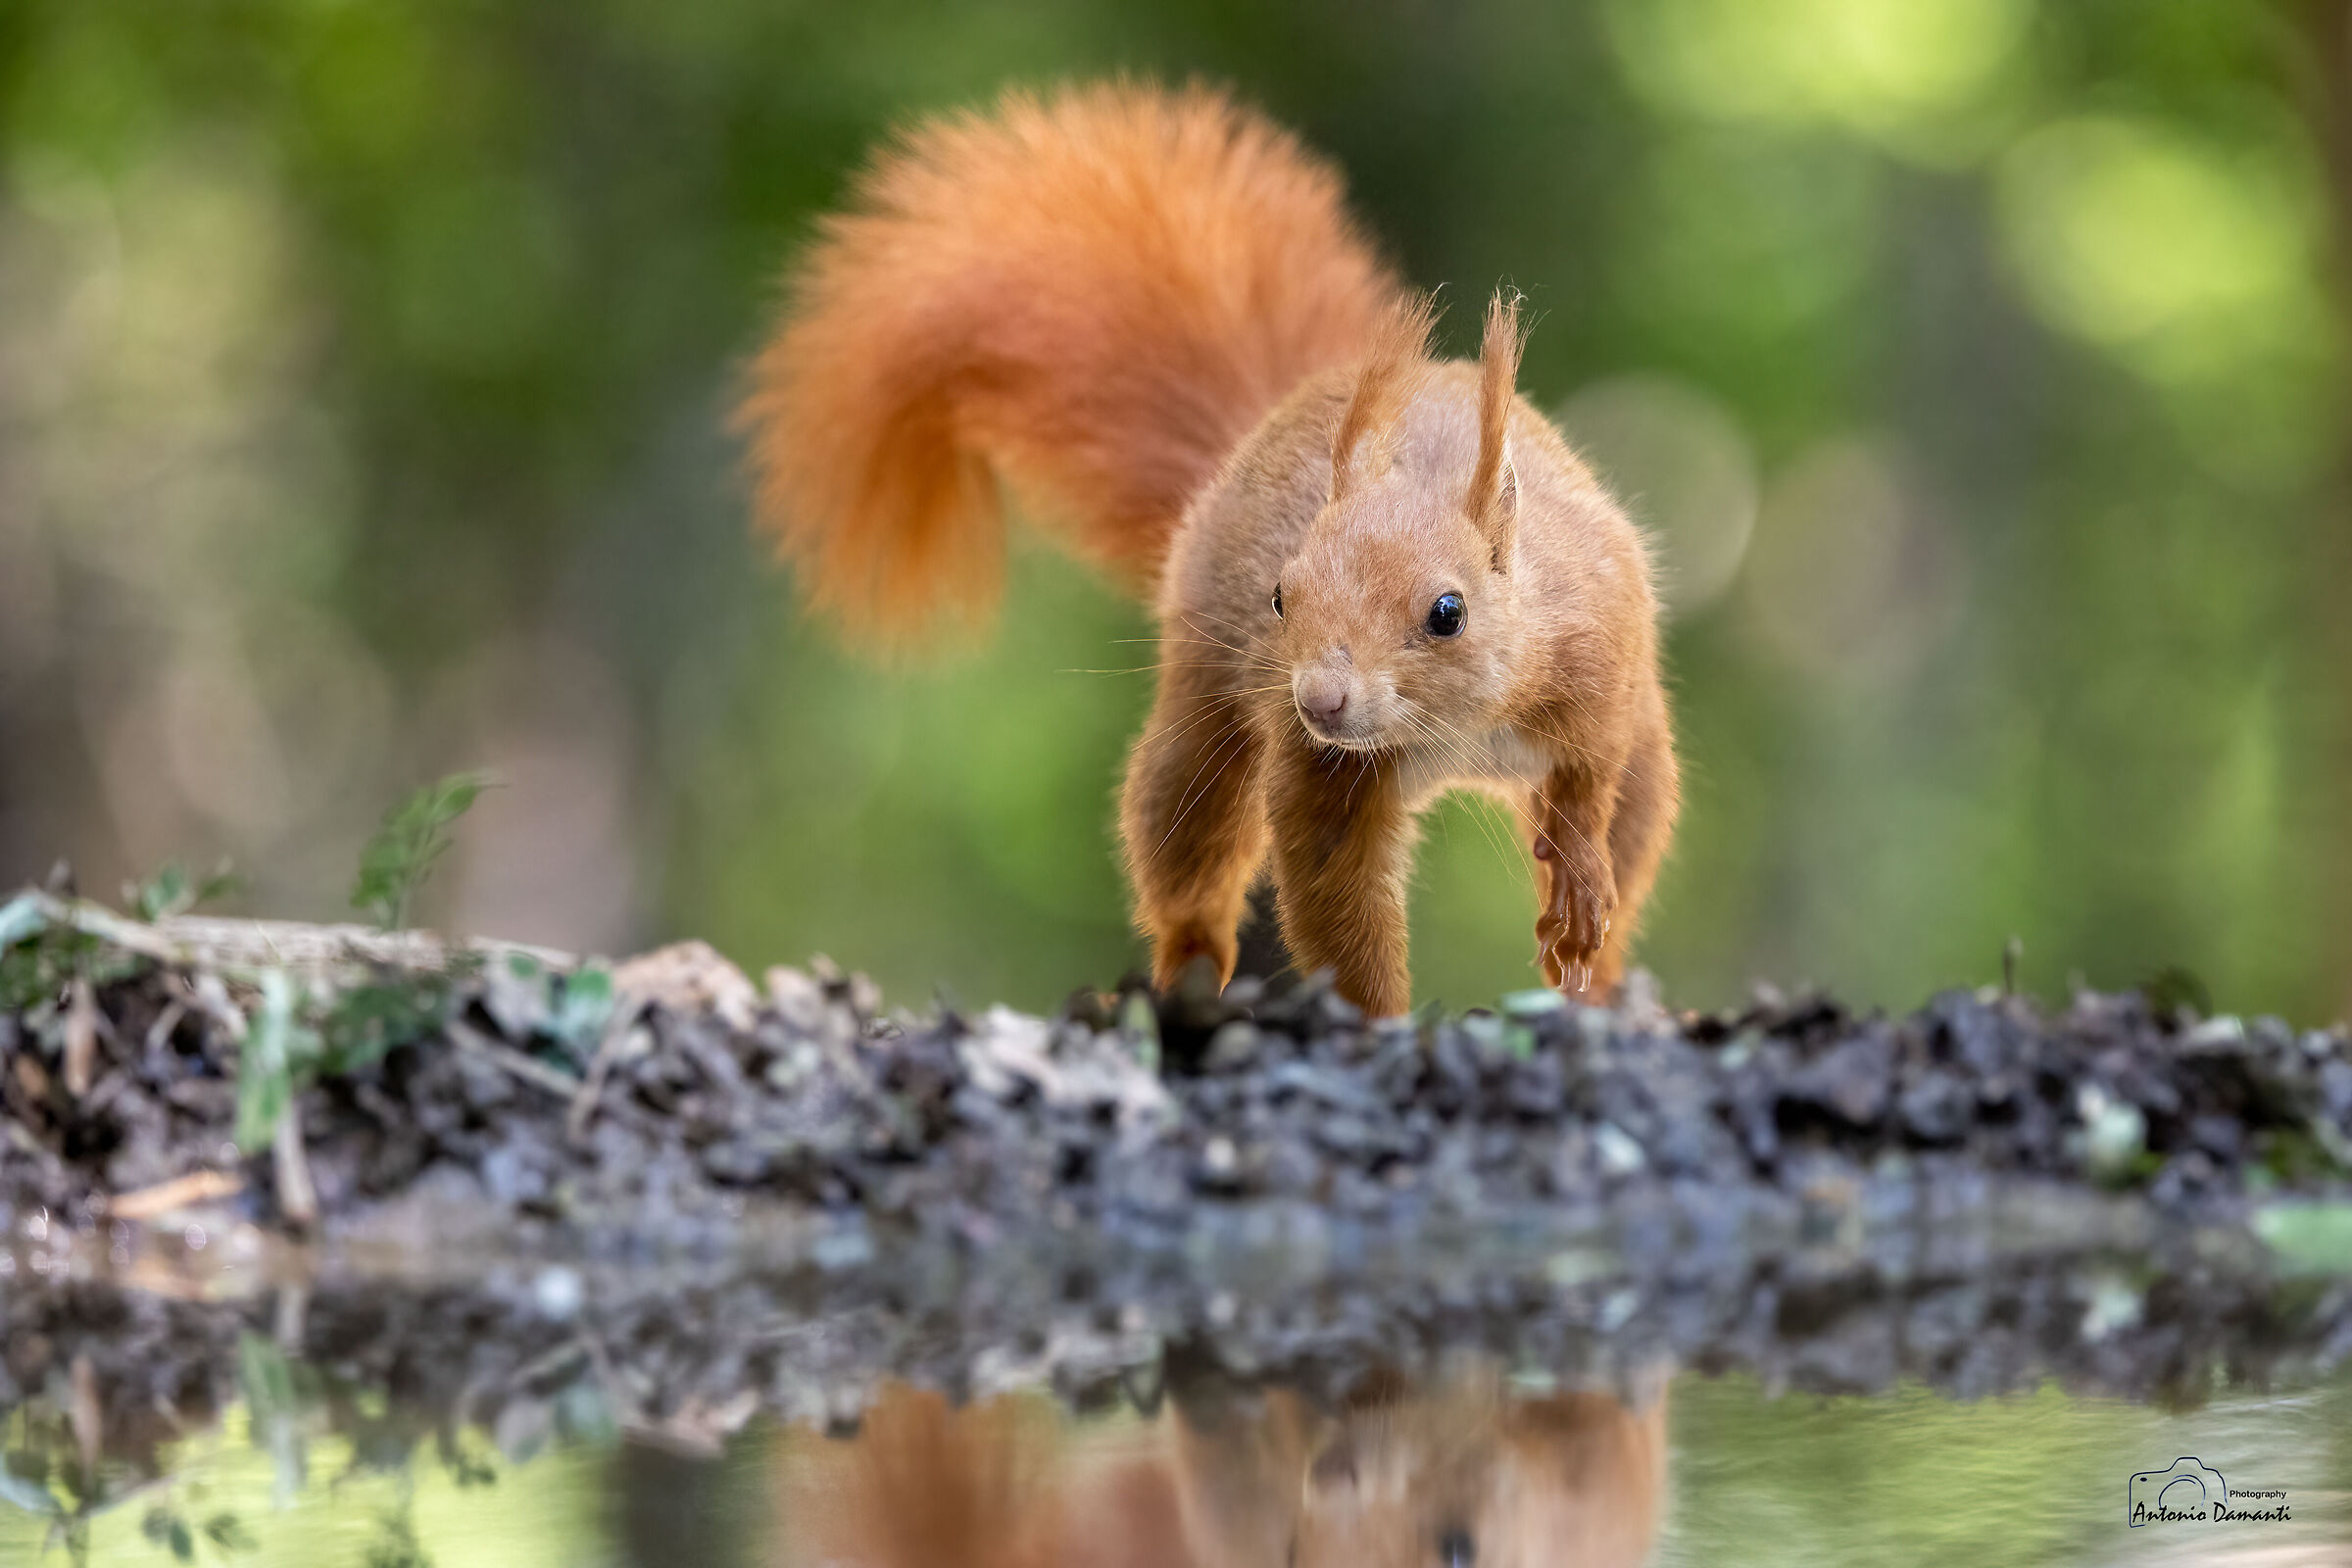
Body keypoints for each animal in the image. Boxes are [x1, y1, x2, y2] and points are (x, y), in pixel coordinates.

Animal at [740, 82, 1678, 1014]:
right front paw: (1375, 1021)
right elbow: (1337, 896)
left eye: (1449, 612)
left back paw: (1599, 983)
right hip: (1202, 717)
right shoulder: (1321, 771)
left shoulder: (1598, 655)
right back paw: (1183, 977)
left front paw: (1578, 884)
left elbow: (1589, 776)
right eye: (1281, 596)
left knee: (1631, 820)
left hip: (1651, 766)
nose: (1321, 700)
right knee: (1186, 849)